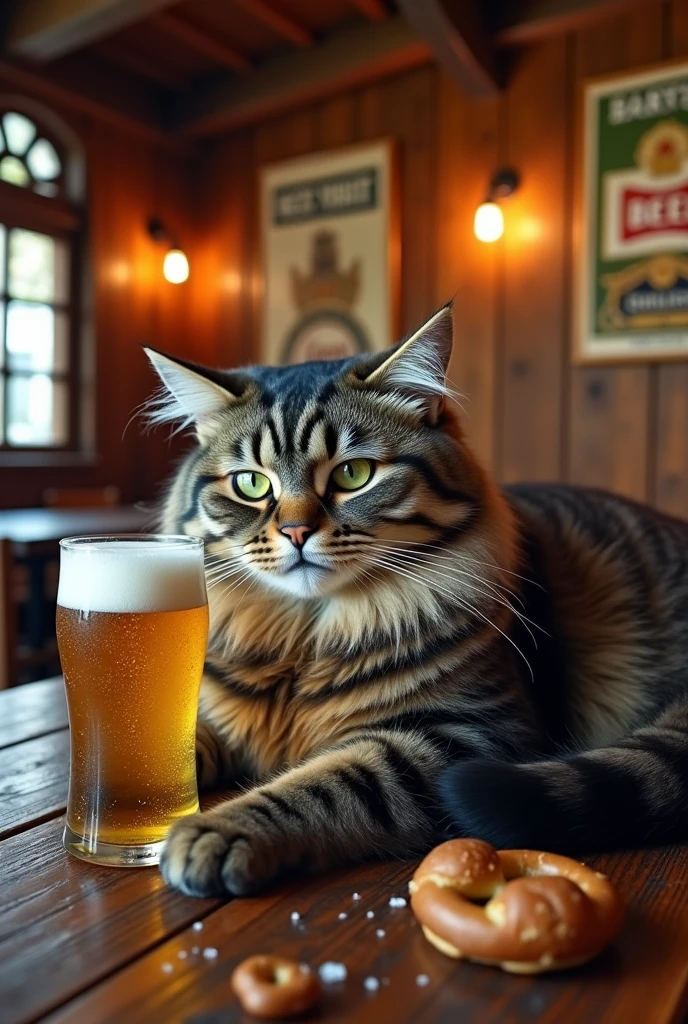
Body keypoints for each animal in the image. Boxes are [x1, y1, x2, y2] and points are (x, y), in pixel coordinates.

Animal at [145, 301, 688, 897]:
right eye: (250, 484)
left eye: (353, 474)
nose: (295, 531)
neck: (305, 635)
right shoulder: (212, 718)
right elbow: (164, 749)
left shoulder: (463, 736)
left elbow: (327, 783)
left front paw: (215, 831)